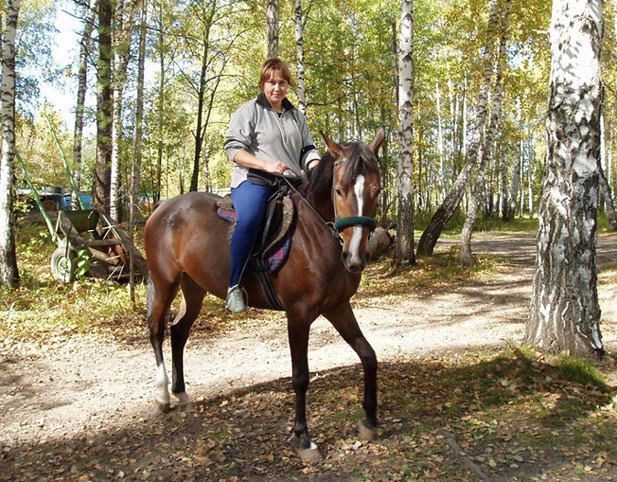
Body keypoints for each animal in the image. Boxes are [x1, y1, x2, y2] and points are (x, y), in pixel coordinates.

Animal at [145, 126, 384, 462]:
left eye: (377, 190)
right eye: (339, 191)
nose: (356, 258)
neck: (315, 236)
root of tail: (162, 209)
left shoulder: (337, 306)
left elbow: (368, 355)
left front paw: (370, 419)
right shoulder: (299, 315)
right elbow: (301, 375)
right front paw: (304, 438)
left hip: (193, 286)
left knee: (179, 331)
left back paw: (181, 394)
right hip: (164, 281)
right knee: (157, 330)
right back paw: (163, 395)